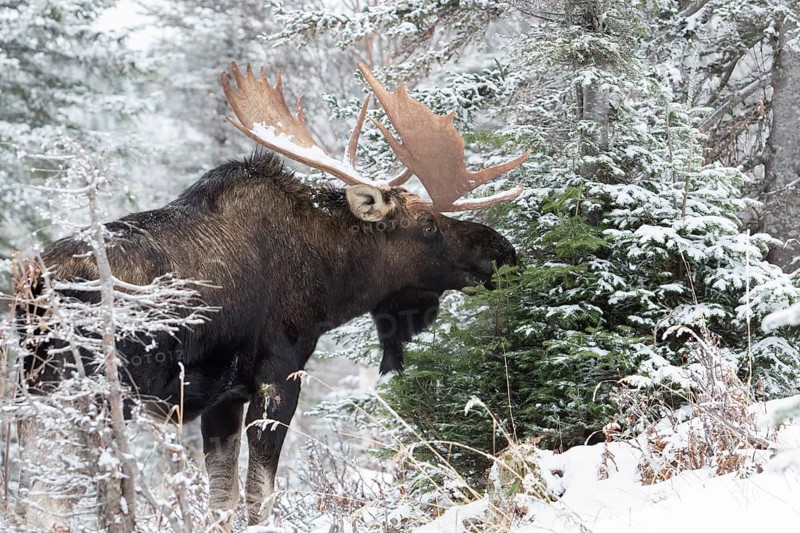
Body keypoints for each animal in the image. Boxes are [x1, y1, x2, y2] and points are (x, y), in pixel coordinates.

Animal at [19, 61, 528, 528]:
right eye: (427, 225)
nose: (504, 252)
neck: (330, 278)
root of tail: (33, 287)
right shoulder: (279, 371)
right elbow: (259, 496)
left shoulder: (223, 398)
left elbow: (222, 498)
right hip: (85, 394)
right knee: (51, 497)